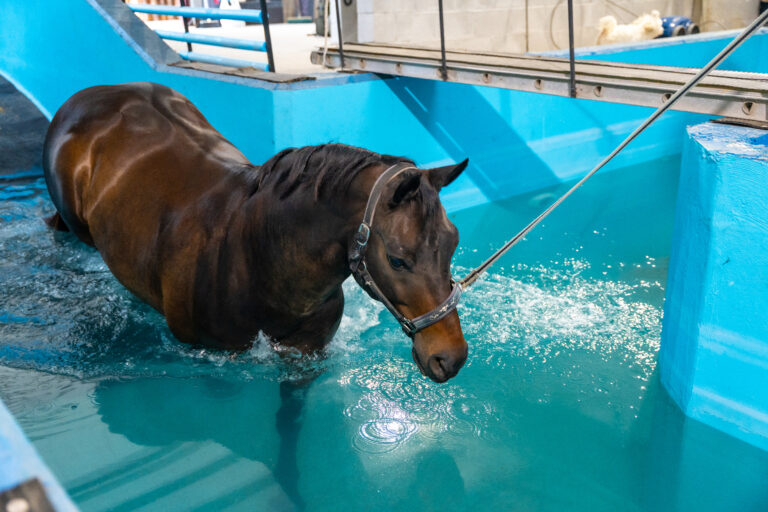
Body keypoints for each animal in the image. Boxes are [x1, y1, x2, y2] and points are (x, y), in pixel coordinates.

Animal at [42, 82, 469, 382]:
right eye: (397, 259)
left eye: (452, 245)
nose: (451, 357)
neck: (255, 255)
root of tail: (88, 96)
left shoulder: (306, 355)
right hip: (75, 224)